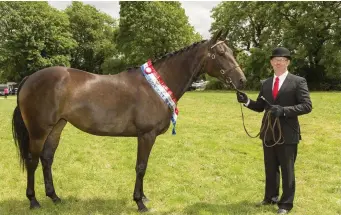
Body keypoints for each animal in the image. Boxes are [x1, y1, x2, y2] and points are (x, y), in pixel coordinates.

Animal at [11, 29, 246, 212]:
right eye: (221, 53)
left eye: (231, 52)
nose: (242, 80)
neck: (155, 87)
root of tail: (29, 78)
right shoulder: (146, 135)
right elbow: (141, 166)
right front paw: (139, 203)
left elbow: (143, 166)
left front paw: (143, 198)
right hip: (39, 130)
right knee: (32, 160)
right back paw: (33, 201)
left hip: (57, 127)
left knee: (47, 158)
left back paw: (55, 197)